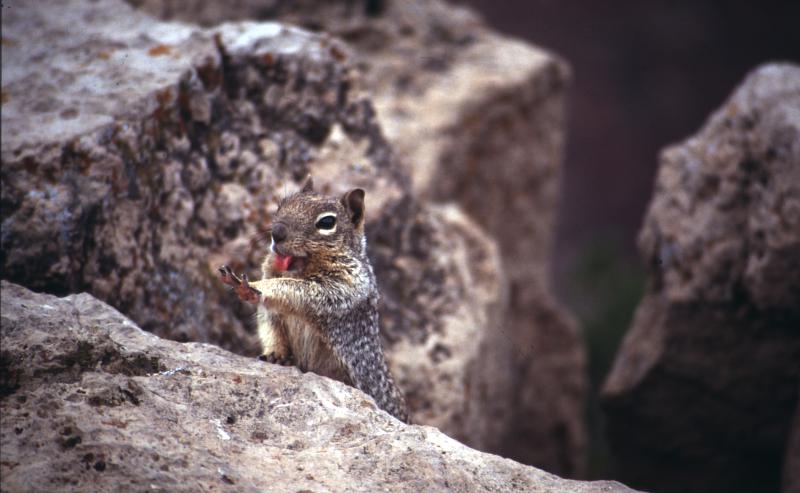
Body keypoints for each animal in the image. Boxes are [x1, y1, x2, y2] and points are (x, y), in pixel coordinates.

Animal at [219, 176, 406, 418]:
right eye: (281, 205)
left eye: (326, 222)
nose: (276, 232)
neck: (299, 267)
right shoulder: (273, 311)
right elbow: (271, 327)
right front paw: (275, 355)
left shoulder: (344, 287)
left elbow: (295, 289)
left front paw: (253, 287)